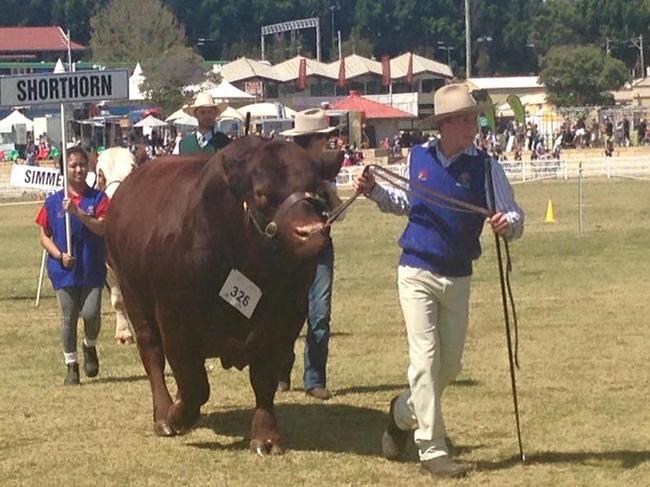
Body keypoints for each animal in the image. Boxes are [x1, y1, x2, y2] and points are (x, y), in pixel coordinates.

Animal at [104, 136, 342, 454]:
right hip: (133, 296)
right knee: (152, 354)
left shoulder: (283, 323)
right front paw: (177, 415)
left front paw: (266, 438)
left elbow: (264, 380)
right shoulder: (175, 323)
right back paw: (163, 415)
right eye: (261, 193)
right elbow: (195, 386)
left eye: (318, 191)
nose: (312, 232)